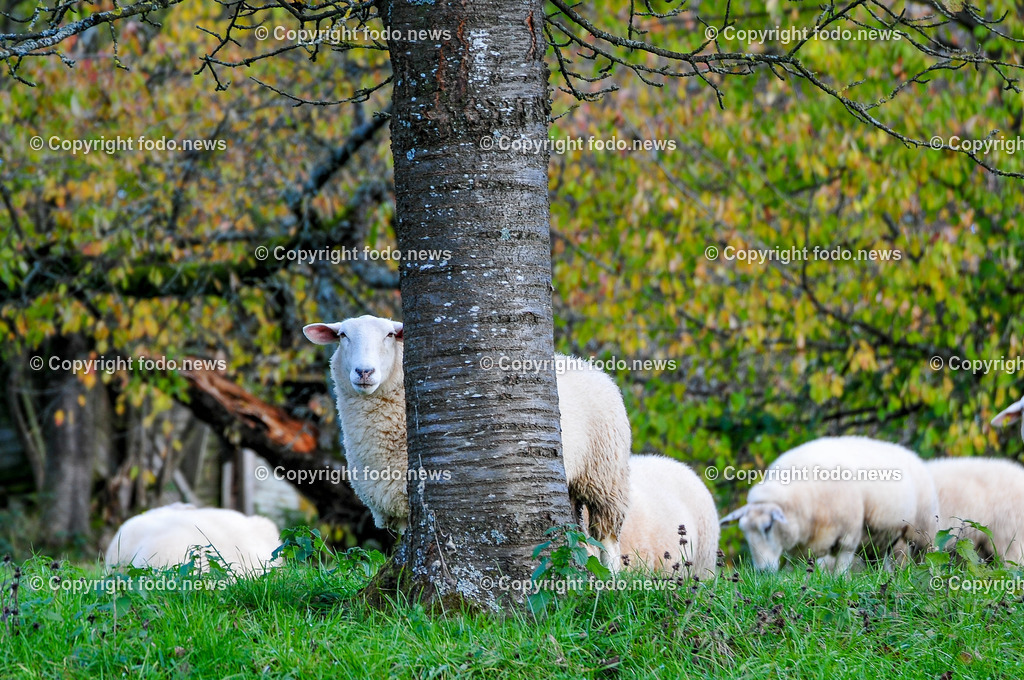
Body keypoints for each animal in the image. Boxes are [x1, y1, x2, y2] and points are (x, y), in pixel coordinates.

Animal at [302, 315, 631, 569]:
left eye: (390, 335)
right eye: (343, 335)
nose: (364, 371)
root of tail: (586, 364)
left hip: (605, 475)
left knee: (607, 538)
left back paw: (610, 579)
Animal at [720, 436, 939, 573]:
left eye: (768, 527)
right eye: (744, 532)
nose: (762, 572)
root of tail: (911, 454)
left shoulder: (849, 534)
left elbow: (841, 569)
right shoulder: (816, 537)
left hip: (920, 532)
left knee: (925, 556)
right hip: (879, 539)